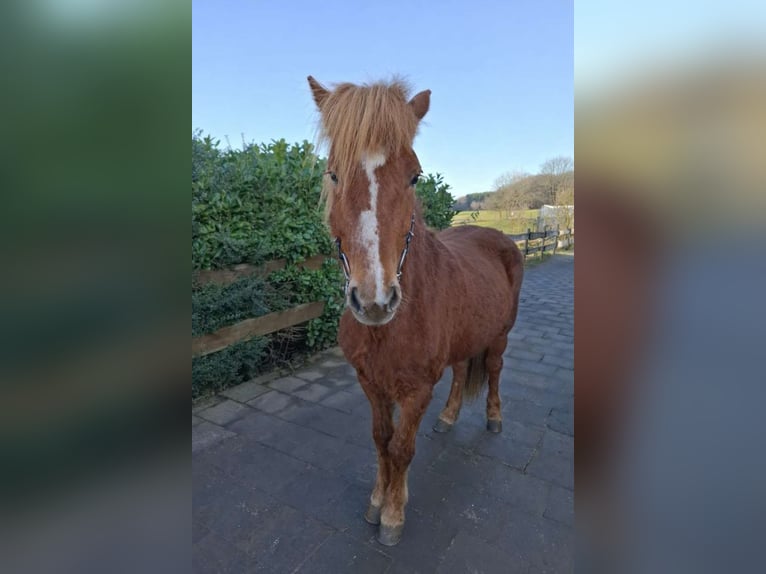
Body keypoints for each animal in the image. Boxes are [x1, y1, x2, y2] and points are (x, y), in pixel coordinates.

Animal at [307, 76, 524, 546]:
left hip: (500, 336)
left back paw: (494, 418)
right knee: (461, 371)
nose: (375, 300)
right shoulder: (370, 383)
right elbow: (380, 440)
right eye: (333, 173)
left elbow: (402, 448)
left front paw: (393, 515)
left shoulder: (417, 389)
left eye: (414, 176)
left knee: (493, 370)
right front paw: (376, 500)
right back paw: (448, 417)